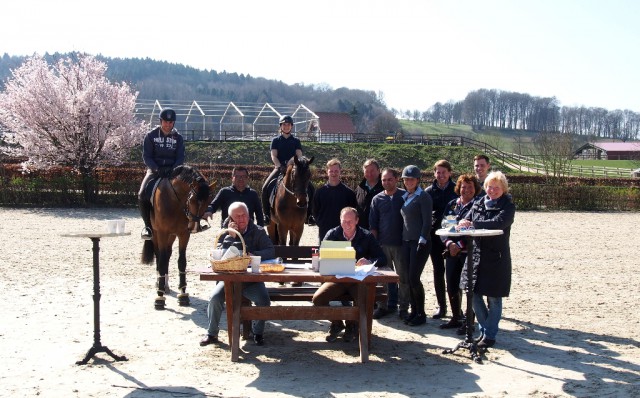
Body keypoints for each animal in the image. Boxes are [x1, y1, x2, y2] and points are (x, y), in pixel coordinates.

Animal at [141, 165, 215, 310]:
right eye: (192, 200)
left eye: (209, 201)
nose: (194, 227)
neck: (174, 200)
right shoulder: (162, 233)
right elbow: (162, 261)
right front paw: (159, 297)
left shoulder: (183, 234)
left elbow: (182, 262)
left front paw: (183, 294)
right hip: (156, 235)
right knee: (160, 256)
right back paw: (159, 284)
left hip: (171, 236)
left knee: (167, 255)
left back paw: (166, 286)